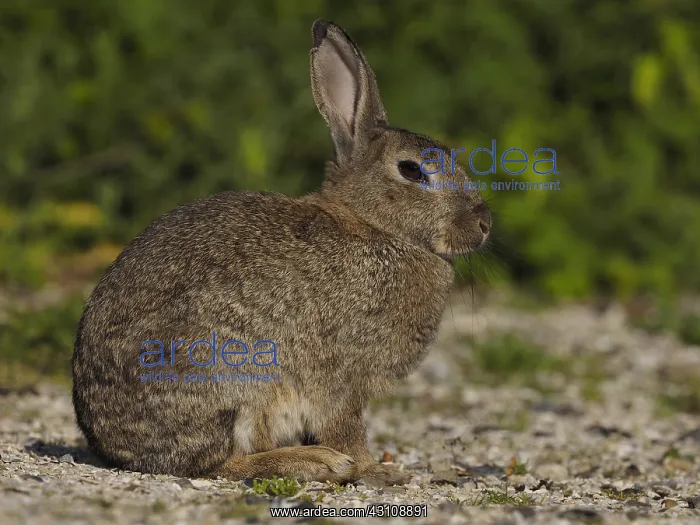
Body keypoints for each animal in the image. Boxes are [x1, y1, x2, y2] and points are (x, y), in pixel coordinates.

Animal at [71, 18, 492, 486]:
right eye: (413, 170)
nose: (484, 224)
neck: (378, 227)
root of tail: (112, 444)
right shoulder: (342, 377)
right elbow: (346, 428)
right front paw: (377, 471)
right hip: (234, 376)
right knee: (220, 463)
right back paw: (314, 462)